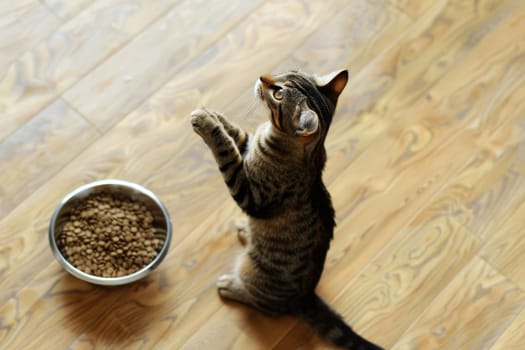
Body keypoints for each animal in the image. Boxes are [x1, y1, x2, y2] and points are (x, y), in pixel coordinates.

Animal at [190, 69, 382, 350]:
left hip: (250, 270)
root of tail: (305, 296)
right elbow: (236, 132)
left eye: (279, 94)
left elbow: (226, 149)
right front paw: (213, 114)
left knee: (263, 305)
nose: (262, 77)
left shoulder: (251, 194)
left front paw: (205, 121)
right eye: (288, 72)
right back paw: (245, 230)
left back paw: (231, 286)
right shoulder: (249, 145)